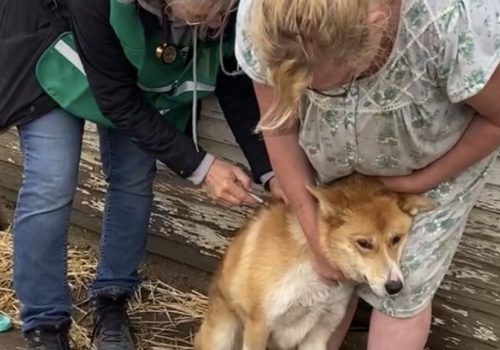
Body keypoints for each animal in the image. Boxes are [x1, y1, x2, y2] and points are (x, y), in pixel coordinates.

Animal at [195, 175, 438, 350]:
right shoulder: (259, 327)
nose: (395, 287)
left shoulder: (320, 332)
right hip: (223, 335)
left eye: (396, 239)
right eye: (364, 243)